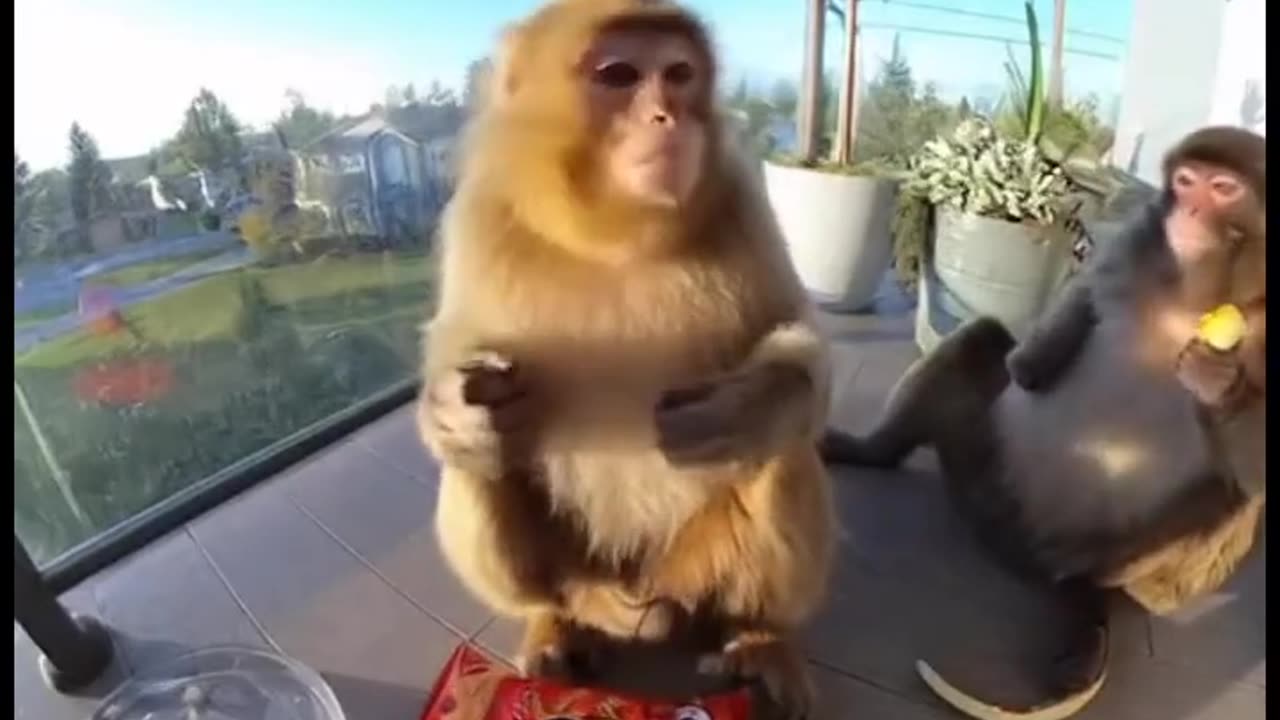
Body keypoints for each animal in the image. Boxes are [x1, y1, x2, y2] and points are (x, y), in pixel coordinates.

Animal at [417, 1, 836, 715]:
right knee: (479, 466)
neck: (615, 238)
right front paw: (456, 414)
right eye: (619, 75)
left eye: (678, 74)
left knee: (783, 450)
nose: (666, 115)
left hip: (693, 569)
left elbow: (798, 341)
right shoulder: (479, 216)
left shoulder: (740, 193)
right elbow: (459, 367)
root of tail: (641, 598)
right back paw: (554, 621)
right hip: (584, 574)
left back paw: (758, 637)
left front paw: (746, 406)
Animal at [818, 126, 1266, 720]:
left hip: (1110, 553)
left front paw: (1218, 382)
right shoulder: (1133, 245)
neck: (1197, 299)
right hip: (979, 461)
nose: (1189, 212)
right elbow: (1044, 340)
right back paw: (873, 451)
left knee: (1228, 494)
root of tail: (1029, 556)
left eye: (1222, 188)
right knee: (980, 340)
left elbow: (1253, 474)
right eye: (1188, 182)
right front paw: (1044, 352)